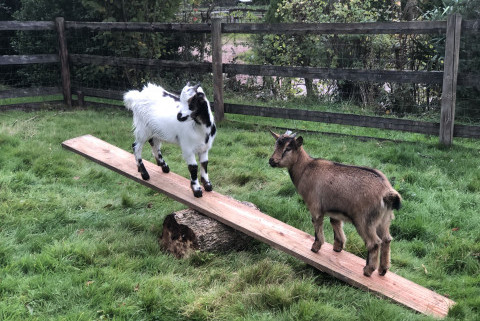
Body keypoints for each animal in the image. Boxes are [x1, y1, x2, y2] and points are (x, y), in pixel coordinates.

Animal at [270, 130, 402, 276]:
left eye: (288, 148)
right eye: (276, 144)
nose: (271, 161)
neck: (306, 168)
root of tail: (387, 192)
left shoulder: (315, 206)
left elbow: (317, 224)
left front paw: (315, 247)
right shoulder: (335, 209)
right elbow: (335, 223)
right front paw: (338, 247)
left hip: (364, 220)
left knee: (374, 243)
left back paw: (368, 270)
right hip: (384, 219)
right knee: (386, 239)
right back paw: (383, 270)